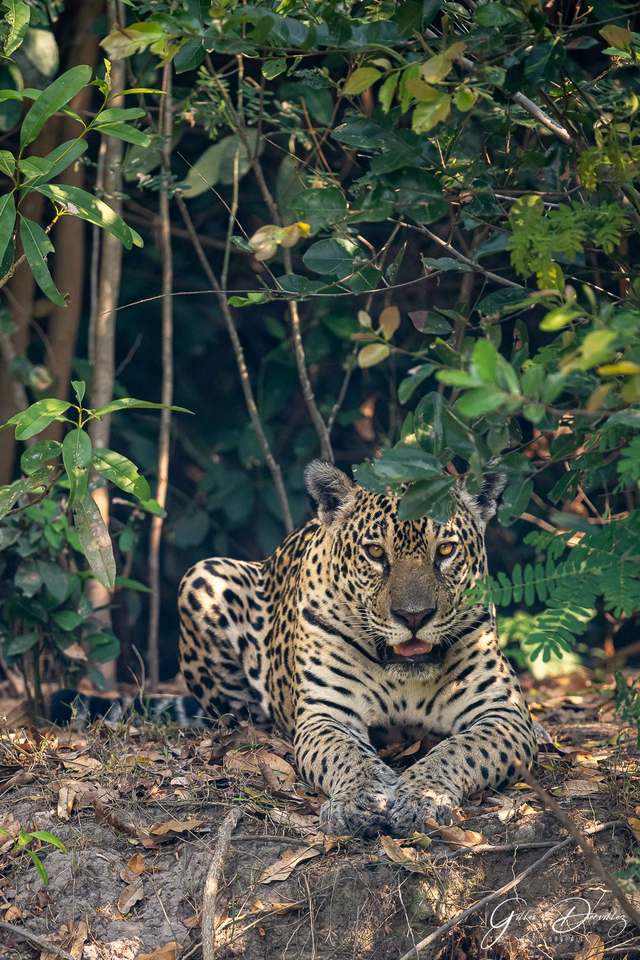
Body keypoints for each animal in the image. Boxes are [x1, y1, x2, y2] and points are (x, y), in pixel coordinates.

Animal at [177, 459, 536, 838]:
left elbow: (457, 750)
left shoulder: (504, 713)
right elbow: (346, 755)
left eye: (445, 550)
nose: (414, 615)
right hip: (203, 575)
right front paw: (360, 799)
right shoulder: (327, 714)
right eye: (375, 551)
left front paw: (422, 797)